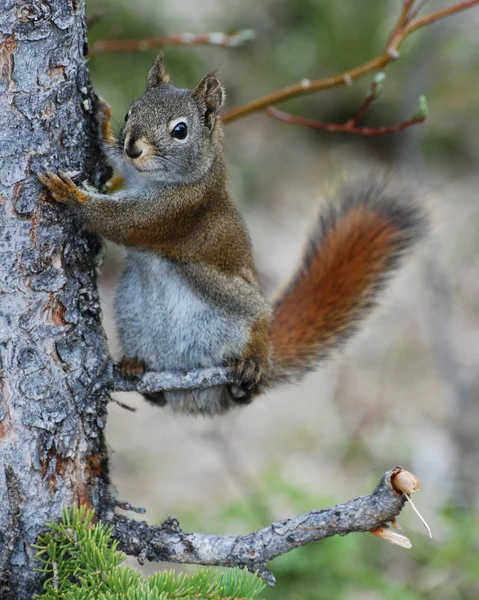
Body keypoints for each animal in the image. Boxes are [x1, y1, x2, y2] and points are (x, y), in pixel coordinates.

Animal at [38, 54, 428, 414]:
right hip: (133, 310)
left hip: (224, 292)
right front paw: (101, 118)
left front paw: (70, 194)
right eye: (131, 112)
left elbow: (119, 221)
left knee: (254, 335)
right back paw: (138, 367)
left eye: (180, 130)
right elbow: (115, 160)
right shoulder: (133, 173)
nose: (134, 147)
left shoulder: (176, 212)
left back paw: (248, 367)